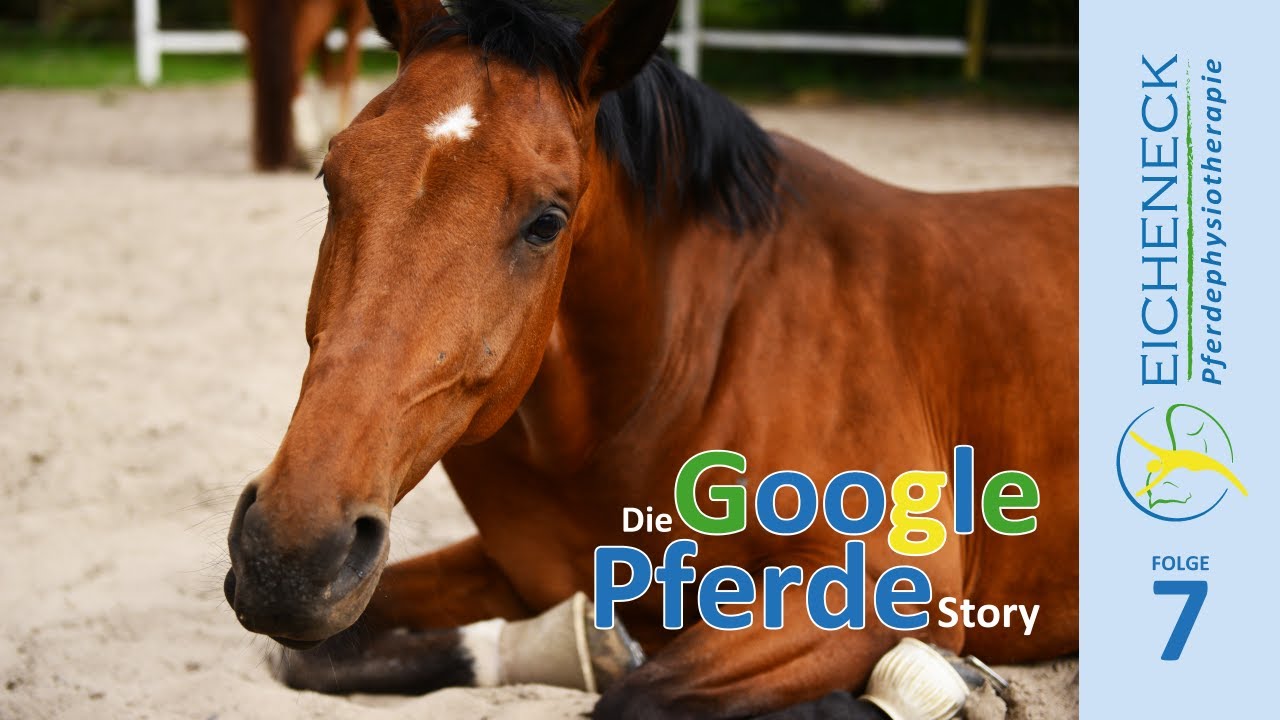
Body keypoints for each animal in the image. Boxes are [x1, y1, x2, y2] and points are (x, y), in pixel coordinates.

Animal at [231, 0, 370, 170]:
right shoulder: (357, 11)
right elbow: (347, 71)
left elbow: (327, 71)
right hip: (315, 11)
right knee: (295, 64)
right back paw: (306, 141)